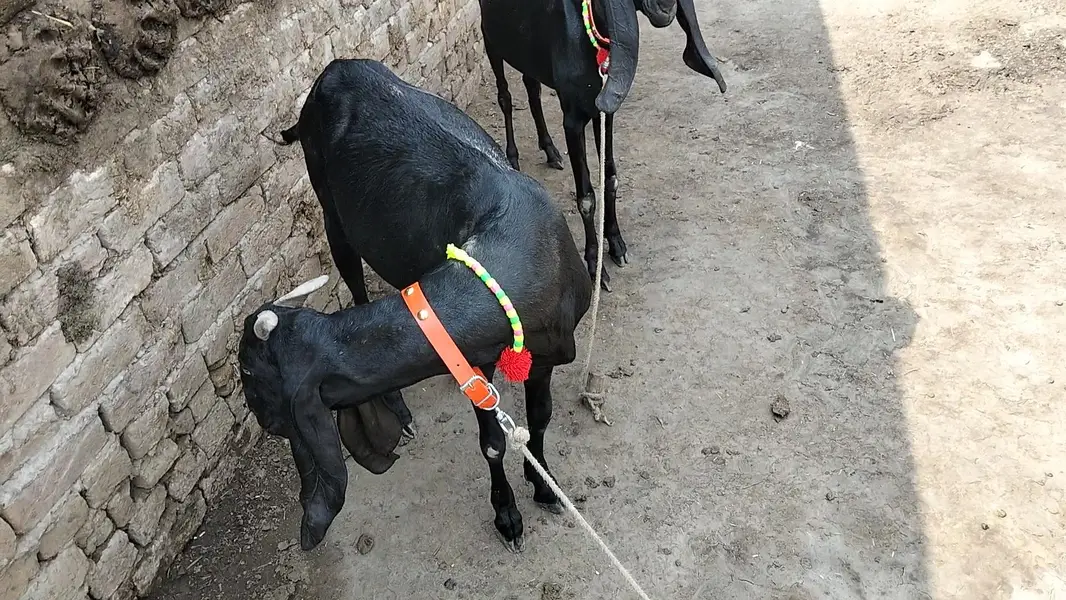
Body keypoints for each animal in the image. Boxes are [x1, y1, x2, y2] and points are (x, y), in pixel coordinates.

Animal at [237, 58, 593, 553]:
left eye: (249, 374)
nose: (258, 416)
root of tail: (334, 70)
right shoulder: (477, 365)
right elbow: (492, 443)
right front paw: (507, 515)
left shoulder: (543, 355)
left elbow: (539, 420)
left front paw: (543, 486)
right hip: (332, 210)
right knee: (356, 283)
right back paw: (400, 410)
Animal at [477, 0, 727, 290]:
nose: (666, 9)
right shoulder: (573, 120)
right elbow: (586, 197)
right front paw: (596, 265)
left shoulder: (603, 113)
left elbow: (610, 178)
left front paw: (617, 244)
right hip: (491, 40)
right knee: (505, 96)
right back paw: (513, 156)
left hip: (527, 52)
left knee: (532, 87)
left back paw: (550, 150)